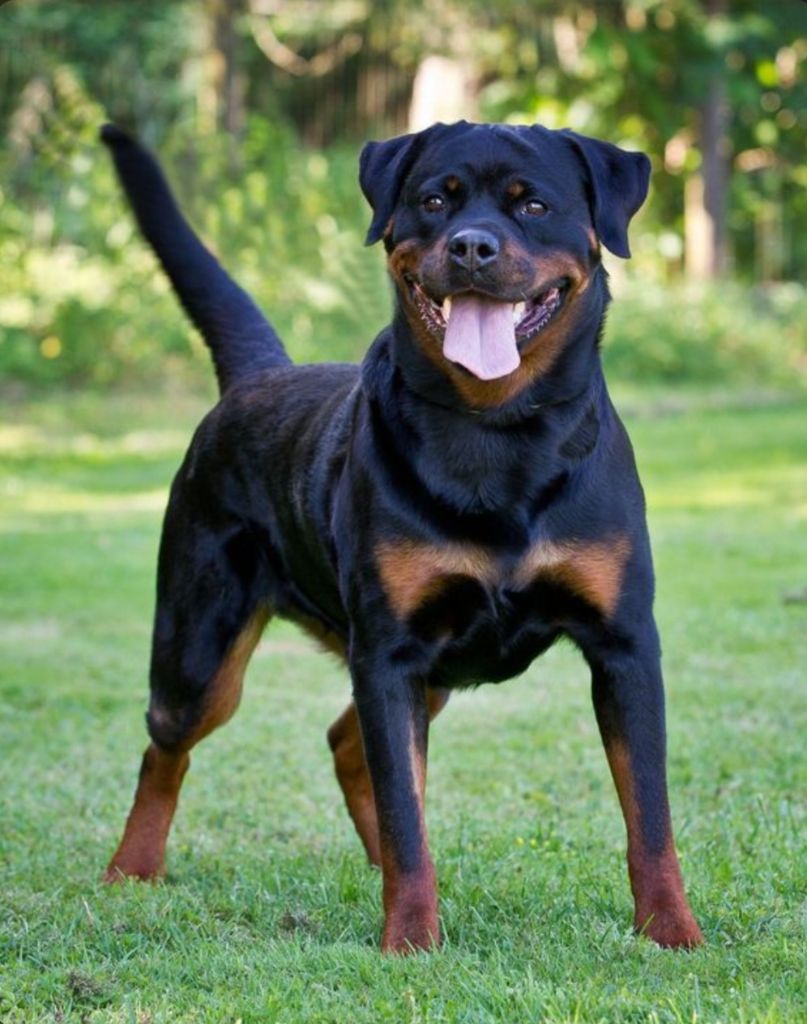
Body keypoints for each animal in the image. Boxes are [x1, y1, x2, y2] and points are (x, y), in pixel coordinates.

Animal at [100, 120, 703, 953]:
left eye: (532, 204)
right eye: (433, 201)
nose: (472, 246)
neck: (495, 432)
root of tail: (257, 377)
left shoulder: (623, 646)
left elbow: (649, 814)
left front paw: (670, 930)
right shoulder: (390, 654)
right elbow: (406, 812)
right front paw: (412, 939)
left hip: (427, 673)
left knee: (344, 746)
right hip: (202, 648)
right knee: (167, 746)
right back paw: (132, 868)